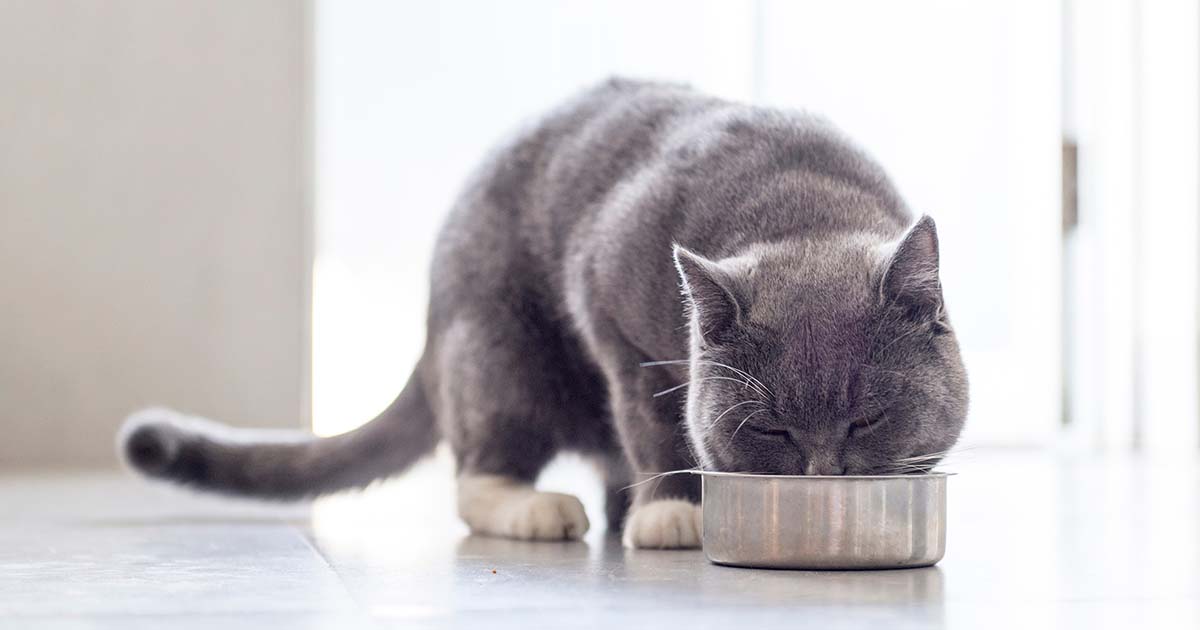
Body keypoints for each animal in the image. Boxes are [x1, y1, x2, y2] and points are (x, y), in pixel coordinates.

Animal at [119, 78, 964, 547]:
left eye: (867, 418)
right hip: (500, 350)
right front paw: (673, 511)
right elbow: (653, 421)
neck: (803, 207)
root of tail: (430, 328)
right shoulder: (611, 309)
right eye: (772, 430)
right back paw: (541, 507)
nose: (826, 475)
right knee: (478, 470)